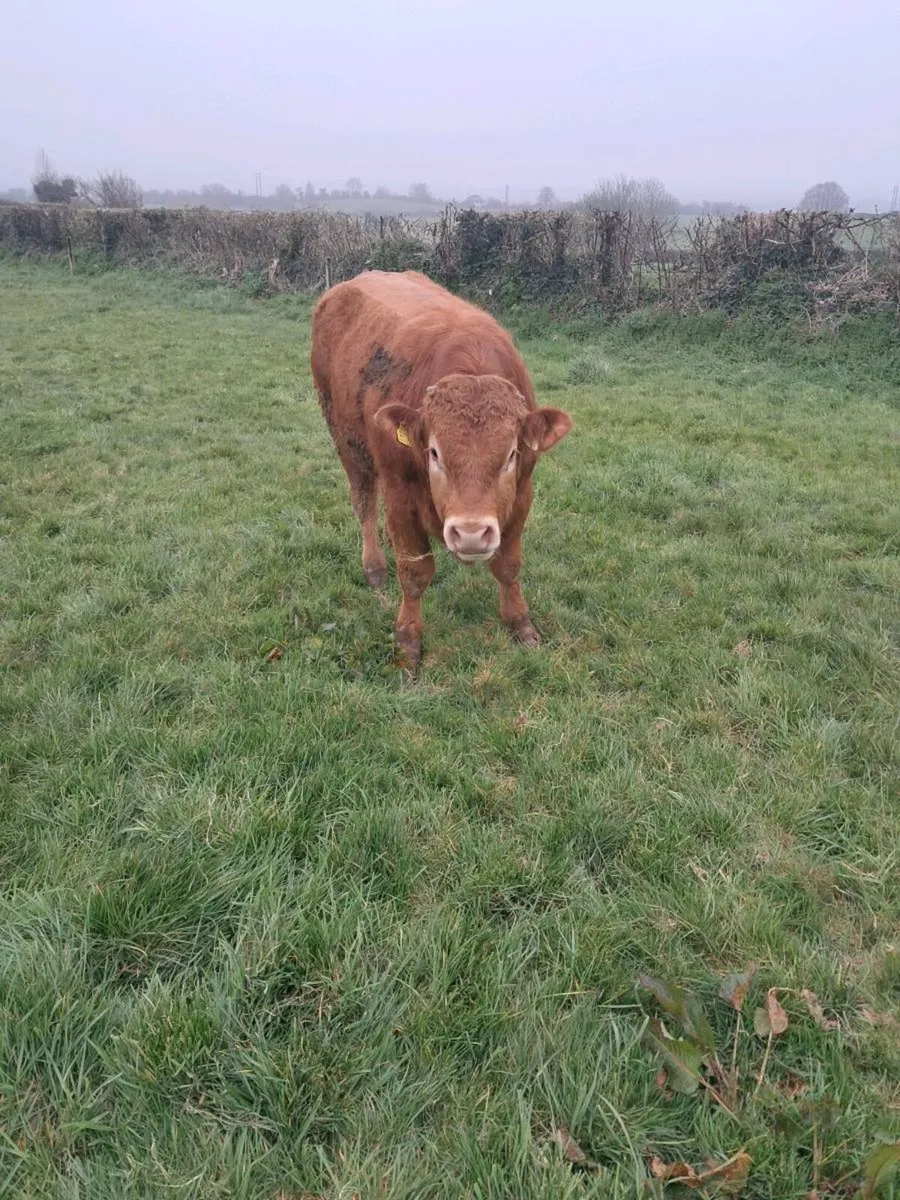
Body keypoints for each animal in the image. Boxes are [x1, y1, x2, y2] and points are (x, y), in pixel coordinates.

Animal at [310, 270, 572, 669]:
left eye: (511, 454)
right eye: (434, 452)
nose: (470, 533)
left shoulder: (522, 493)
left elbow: (509, 566)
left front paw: (521, 624)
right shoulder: (401, 495)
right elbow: (415, 574)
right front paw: (408, 641)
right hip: (345, 439)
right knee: (365, 502)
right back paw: (374, 565)